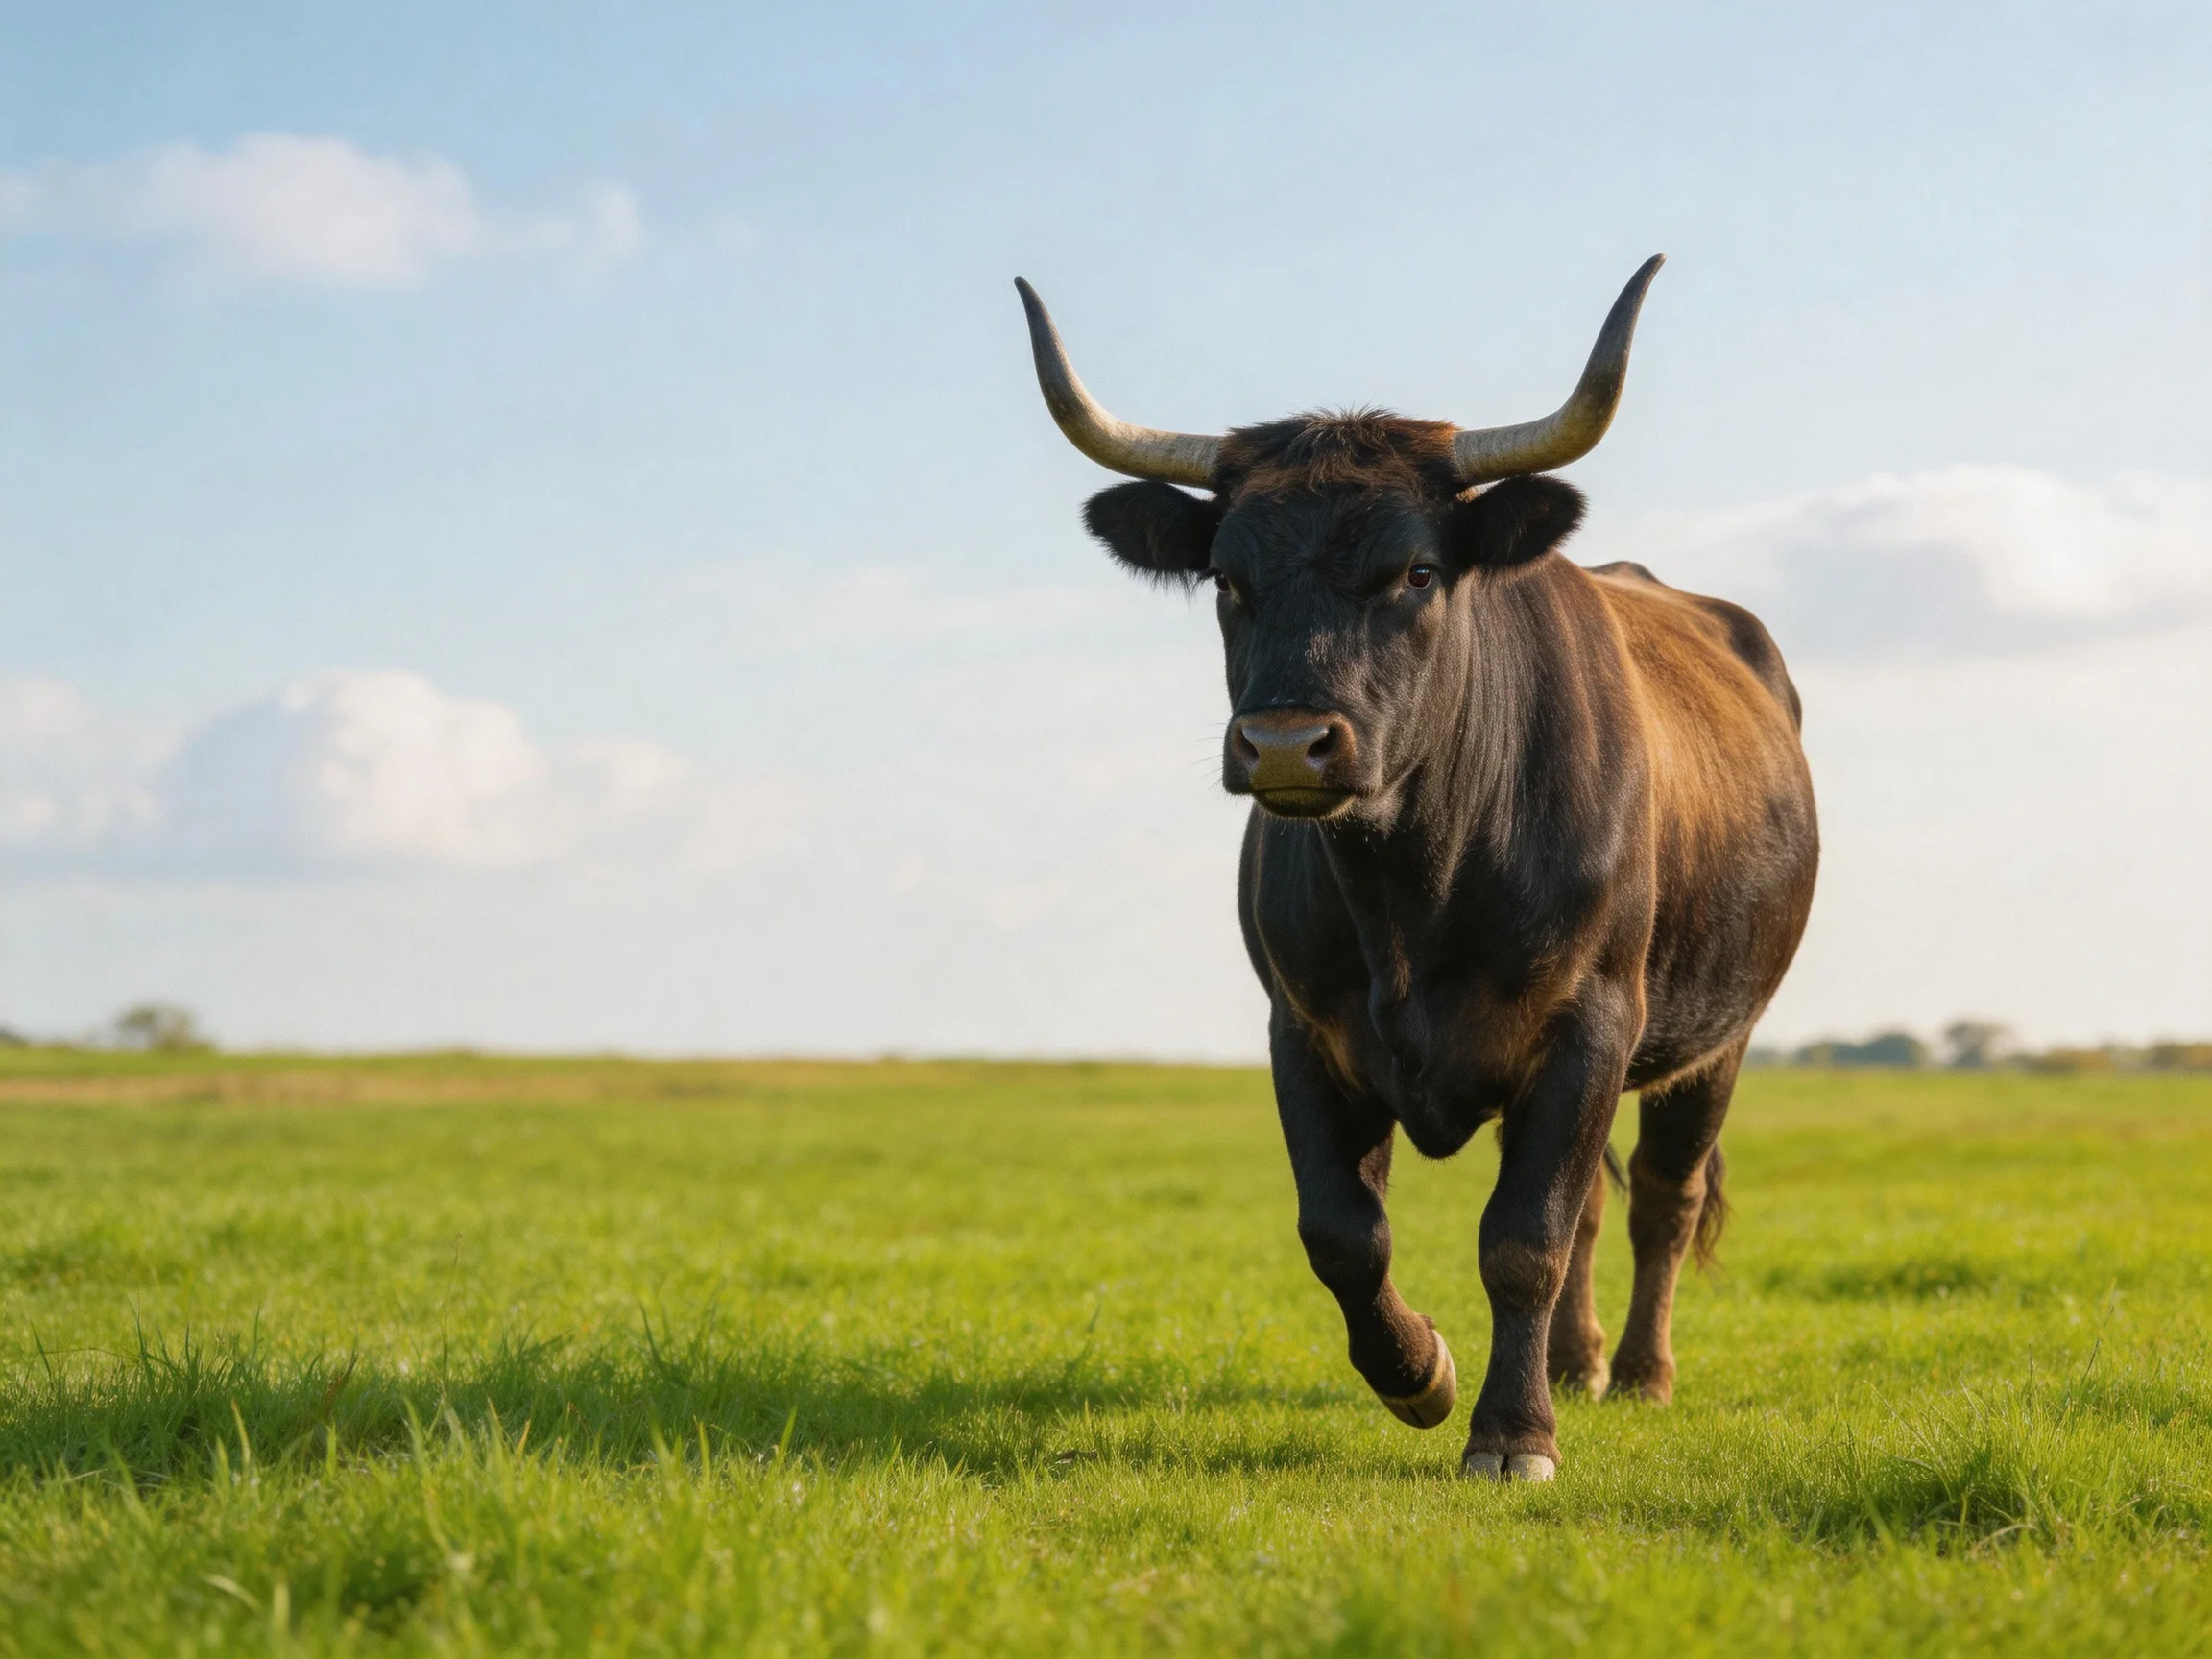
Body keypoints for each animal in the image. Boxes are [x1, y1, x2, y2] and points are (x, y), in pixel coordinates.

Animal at [1016, 258, 1818, 1480]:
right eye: (1227, 578)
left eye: (1419, 570)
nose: (1286, 744)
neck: (1414, 890)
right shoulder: (1306, 1031)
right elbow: (1345, 1233)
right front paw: (1422, 1371)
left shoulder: (1591, 1023)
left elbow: (1523, 1238)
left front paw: (1512, 1435)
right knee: (1597, 1208)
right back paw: (1578, 1364)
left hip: (1713, 1040)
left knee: (1660, 1202)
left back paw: (1639, 1373)